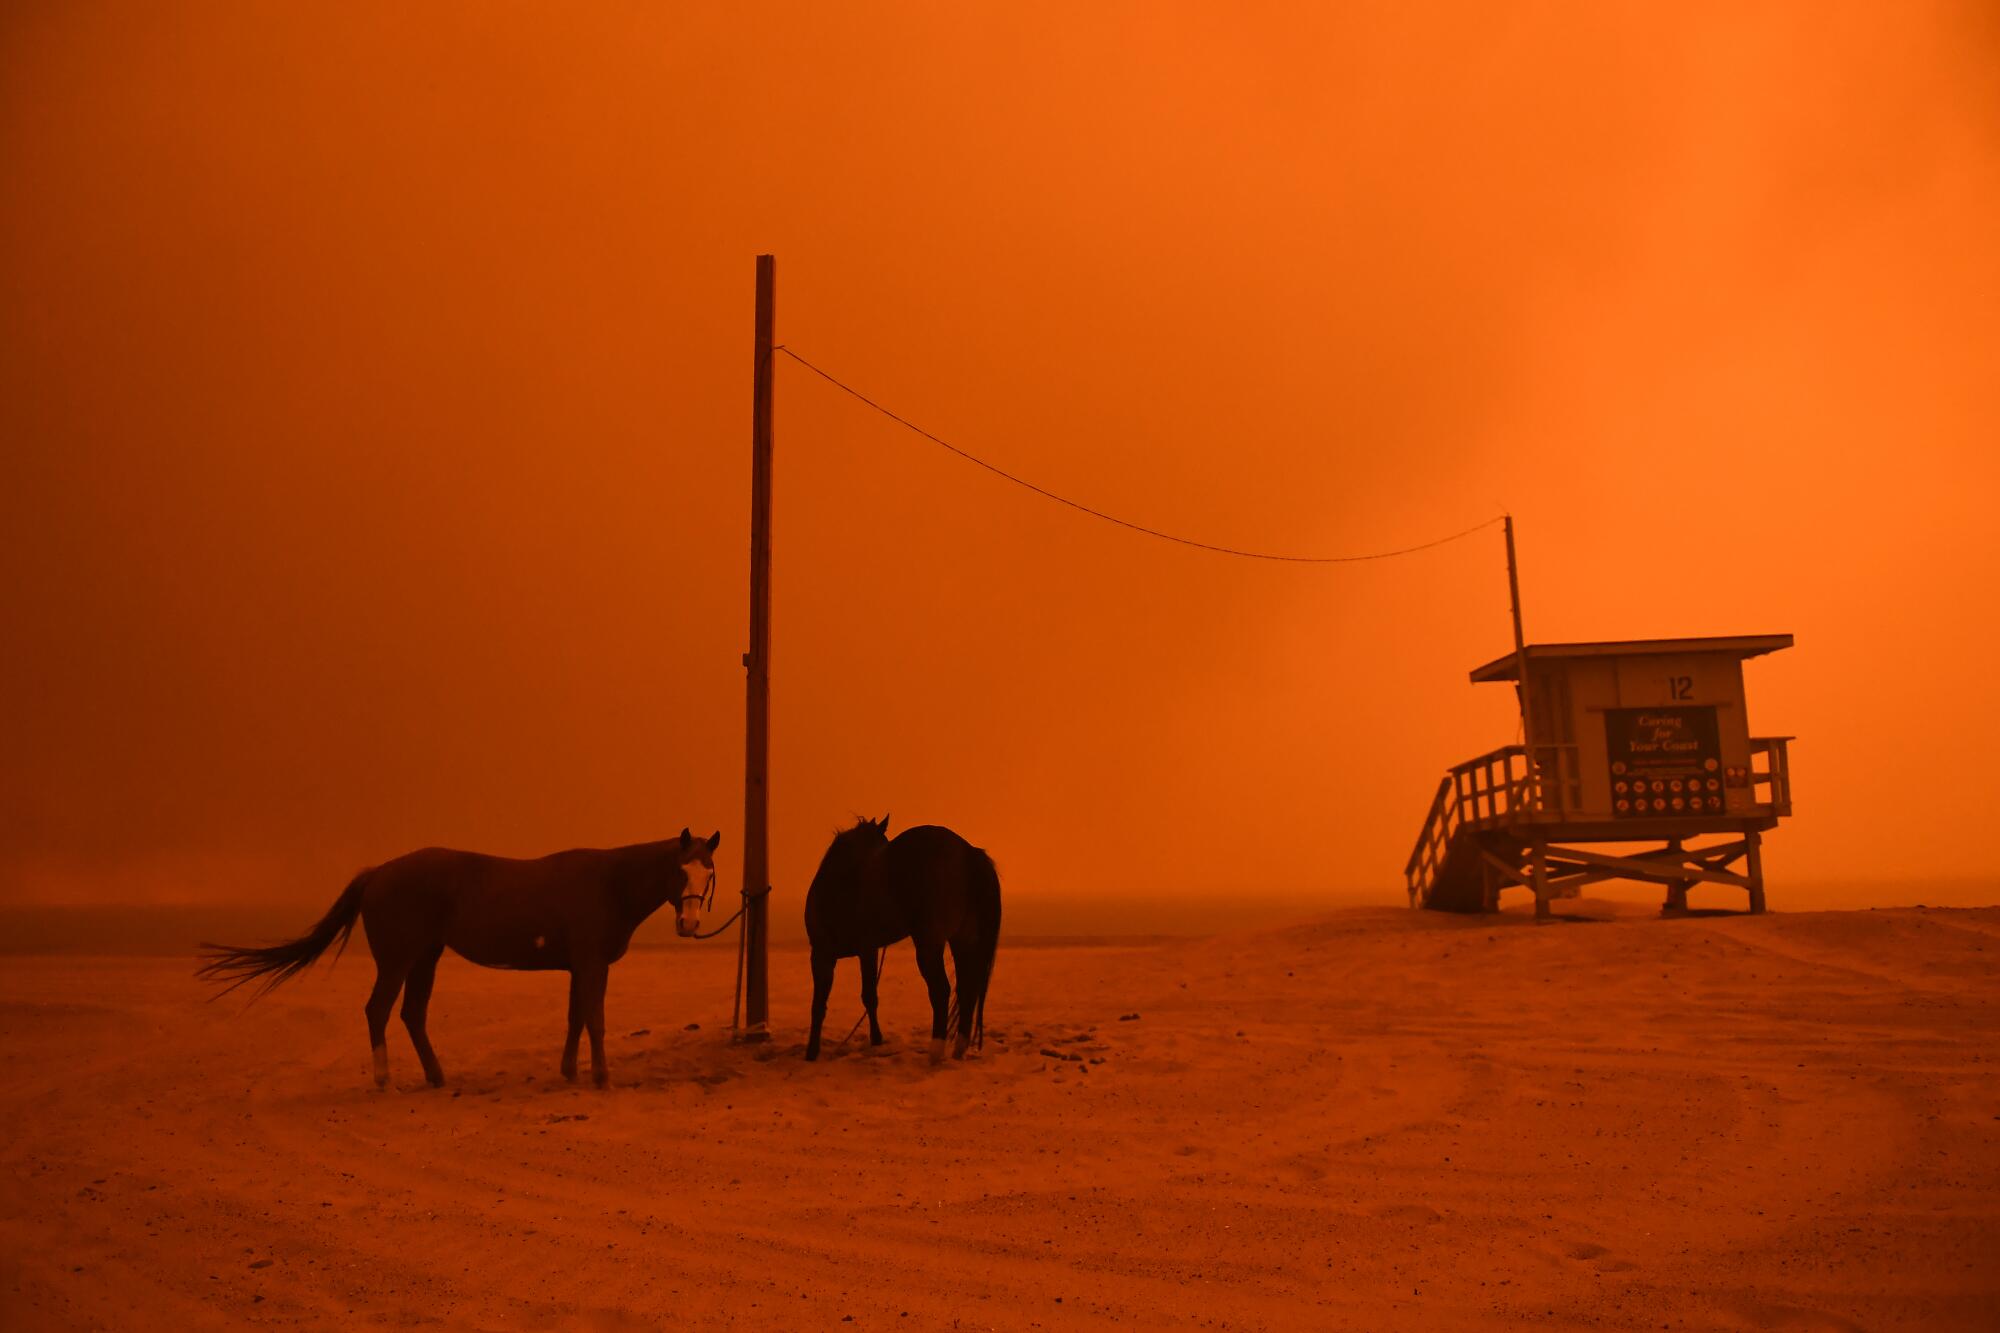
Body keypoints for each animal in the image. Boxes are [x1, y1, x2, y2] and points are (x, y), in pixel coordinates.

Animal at [195, 824, 724, 1088]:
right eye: (681, 870)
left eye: (710, 871)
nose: (689, 924)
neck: (610, 883)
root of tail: (378, 872)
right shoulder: (591, 964)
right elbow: (594, 1019)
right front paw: (601, 1076)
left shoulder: (582, 966)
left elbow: (576, 1018)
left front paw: (571, 1072)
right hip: (398, 960)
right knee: (378, 1010)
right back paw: (385, 1080)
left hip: (425, 958)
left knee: (411, 1014)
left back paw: (436, 1076)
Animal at [800, 816, 1000, 1064]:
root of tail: (967, 852)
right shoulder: (868, 950)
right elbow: (869, 996)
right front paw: (876, 1041)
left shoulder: (822, 953)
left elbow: (819, 1004)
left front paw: (811, 1052)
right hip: (962, 940)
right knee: (967, 988)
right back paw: (959, 1049)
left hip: (929, 943)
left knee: (941, 990)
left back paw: (936, 1051)